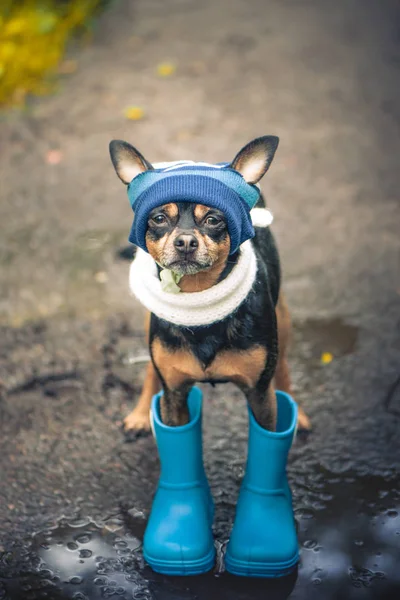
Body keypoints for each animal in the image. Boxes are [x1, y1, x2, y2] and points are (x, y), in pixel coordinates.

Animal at [109, 137, 312, 432]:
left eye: (213, 219)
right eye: (159, 219)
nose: (185, 241)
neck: (199, 301)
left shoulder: (260, 395)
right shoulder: (175, 395)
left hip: (283, 321)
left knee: (283, 368)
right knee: (150, 369)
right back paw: (140, 414)